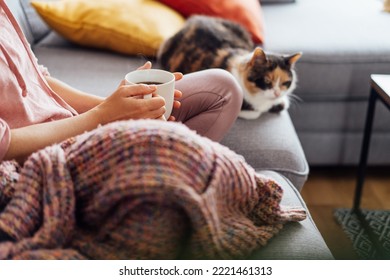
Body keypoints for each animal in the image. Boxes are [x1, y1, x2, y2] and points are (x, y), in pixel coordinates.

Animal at [158, 15, 302, 118]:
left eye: (285, 82)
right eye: (266, 81)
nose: (277, 93)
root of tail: (191, 20)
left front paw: (280, 102)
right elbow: (254, 113)